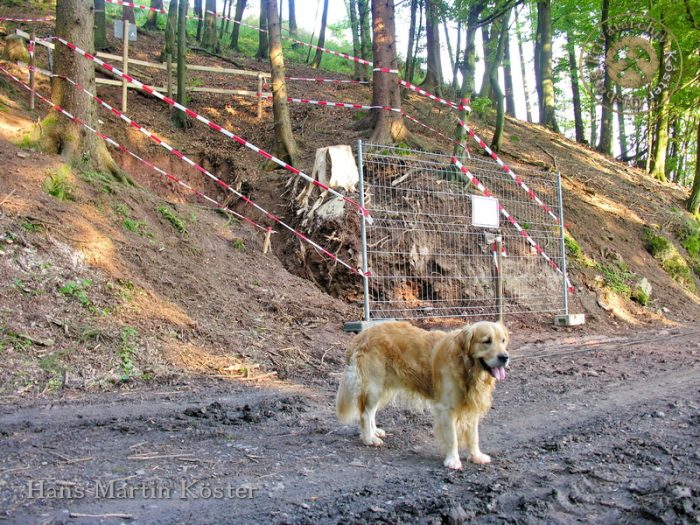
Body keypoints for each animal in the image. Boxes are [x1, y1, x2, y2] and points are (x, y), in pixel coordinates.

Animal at [334, 322, 508, 468]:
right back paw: (369, 438)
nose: (505, 357)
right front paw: (452, 460)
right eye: (487, 341)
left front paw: (477, 456)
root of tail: (361, 335)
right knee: (365, 413)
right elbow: (452, 438)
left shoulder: (472, 406)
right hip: (373, 386)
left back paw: (374, 431)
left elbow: (473, 436)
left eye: (503, 341)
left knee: (371, 412)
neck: (466, 366)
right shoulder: (446, 408)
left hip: (382, 387)